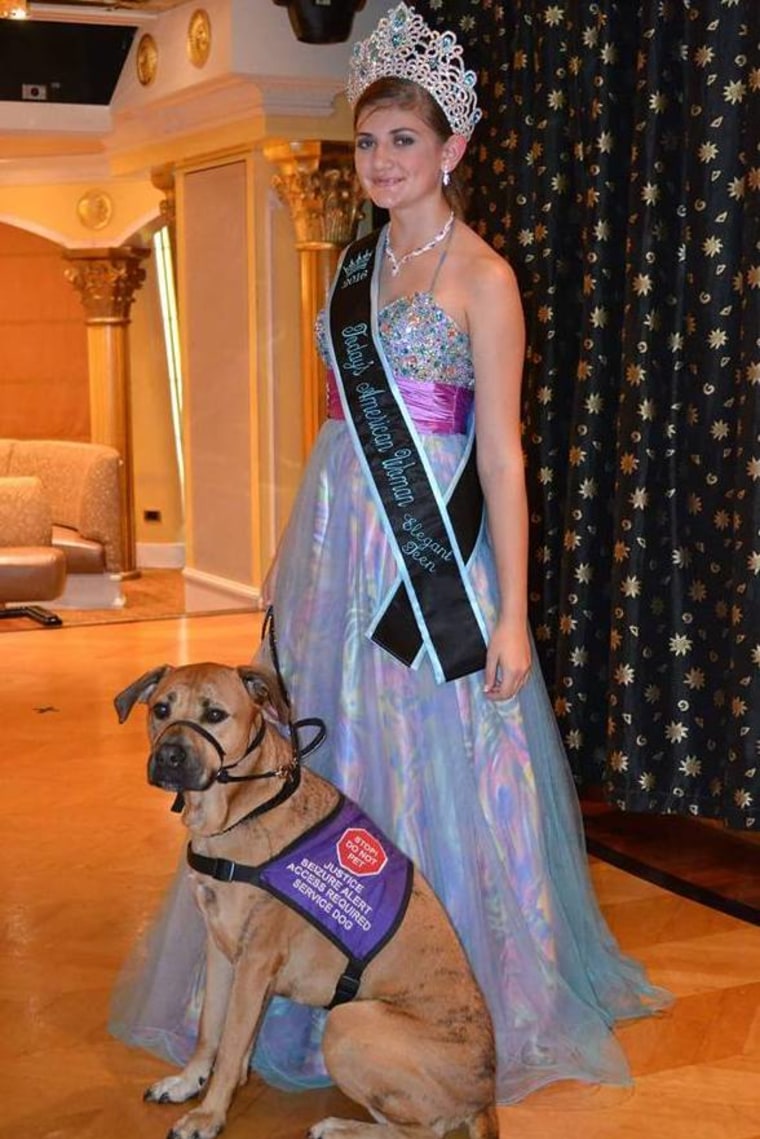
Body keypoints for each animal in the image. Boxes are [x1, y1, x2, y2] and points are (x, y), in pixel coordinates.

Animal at [116, 660, 499, 1139]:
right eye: (162, 709)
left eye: (215, 715)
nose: (168, 757)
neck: (241, 808)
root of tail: (484, 1097)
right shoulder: (221, 951)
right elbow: (210, 1030)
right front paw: (189, 1082)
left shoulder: (255, 962)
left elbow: (231, 1046)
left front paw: (209, 1114)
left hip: (347, 1022)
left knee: (422, 1132)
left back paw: (340, 1127)